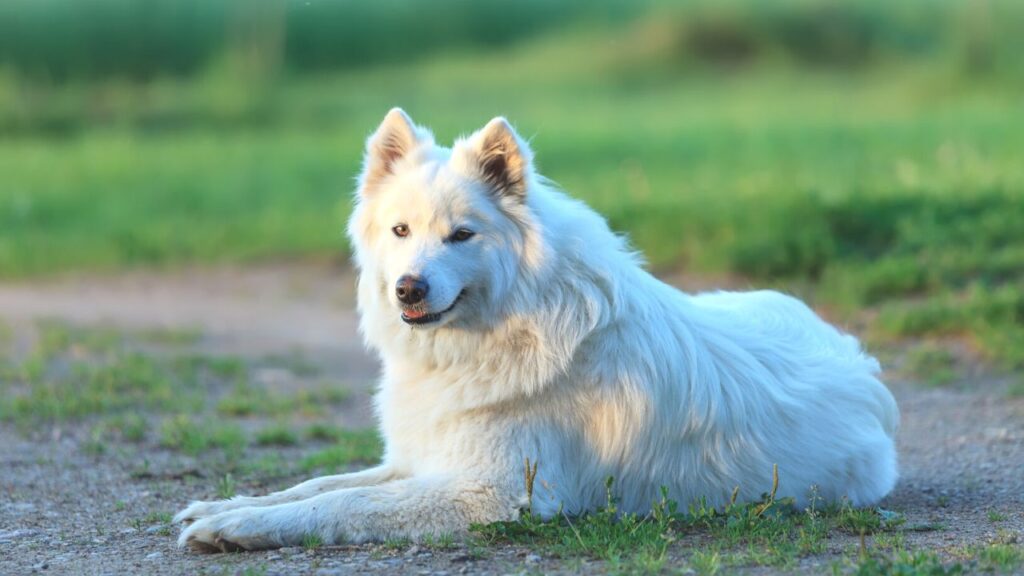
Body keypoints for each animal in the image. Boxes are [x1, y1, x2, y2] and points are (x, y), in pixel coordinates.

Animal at [176, 108, 897, 553]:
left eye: (462, 235)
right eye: (400, 230)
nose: (408, 288)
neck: (498, 332)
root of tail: (862, 364)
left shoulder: (488, 495)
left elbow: (341, 507)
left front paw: (237, 524)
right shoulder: (420, 458)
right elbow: (321, 485)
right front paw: (224, 506)